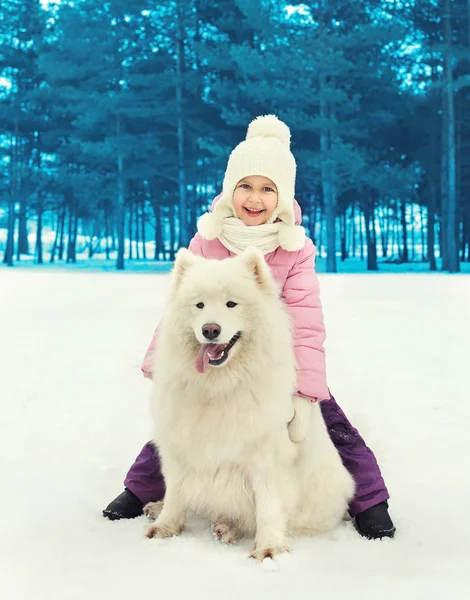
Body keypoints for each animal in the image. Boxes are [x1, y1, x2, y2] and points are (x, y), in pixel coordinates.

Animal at [145, 246, 354, 560]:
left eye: (231, 304)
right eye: (199, 305)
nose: (210, 329)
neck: (220, 387)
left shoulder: (266, 458)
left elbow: (267, 506)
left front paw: (269, 549)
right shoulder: (181, 446)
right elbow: (176, 492)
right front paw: (166, 526)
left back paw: (227, 528)